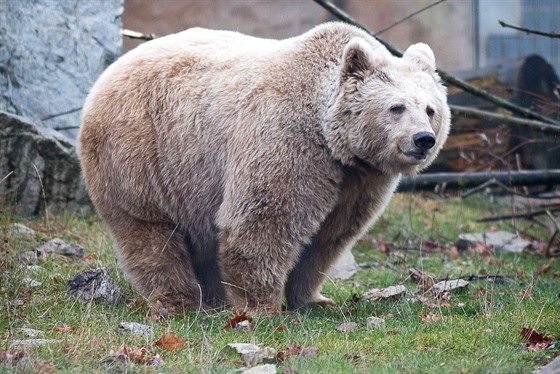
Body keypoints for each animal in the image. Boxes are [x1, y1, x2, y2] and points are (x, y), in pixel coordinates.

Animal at [77, 21, 450, 312]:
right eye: (396, 107)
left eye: (430, 109)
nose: (423, 139)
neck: (334, 140)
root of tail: (108, 73)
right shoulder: (287, 139)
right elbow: (265, 220)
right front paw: (262, 306)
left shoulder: (359, 180)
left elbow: (331, 236)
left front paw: (314, 298)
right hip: (141, 151)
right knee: (149, 231)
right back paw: (181, 298)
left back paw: (214, 298)